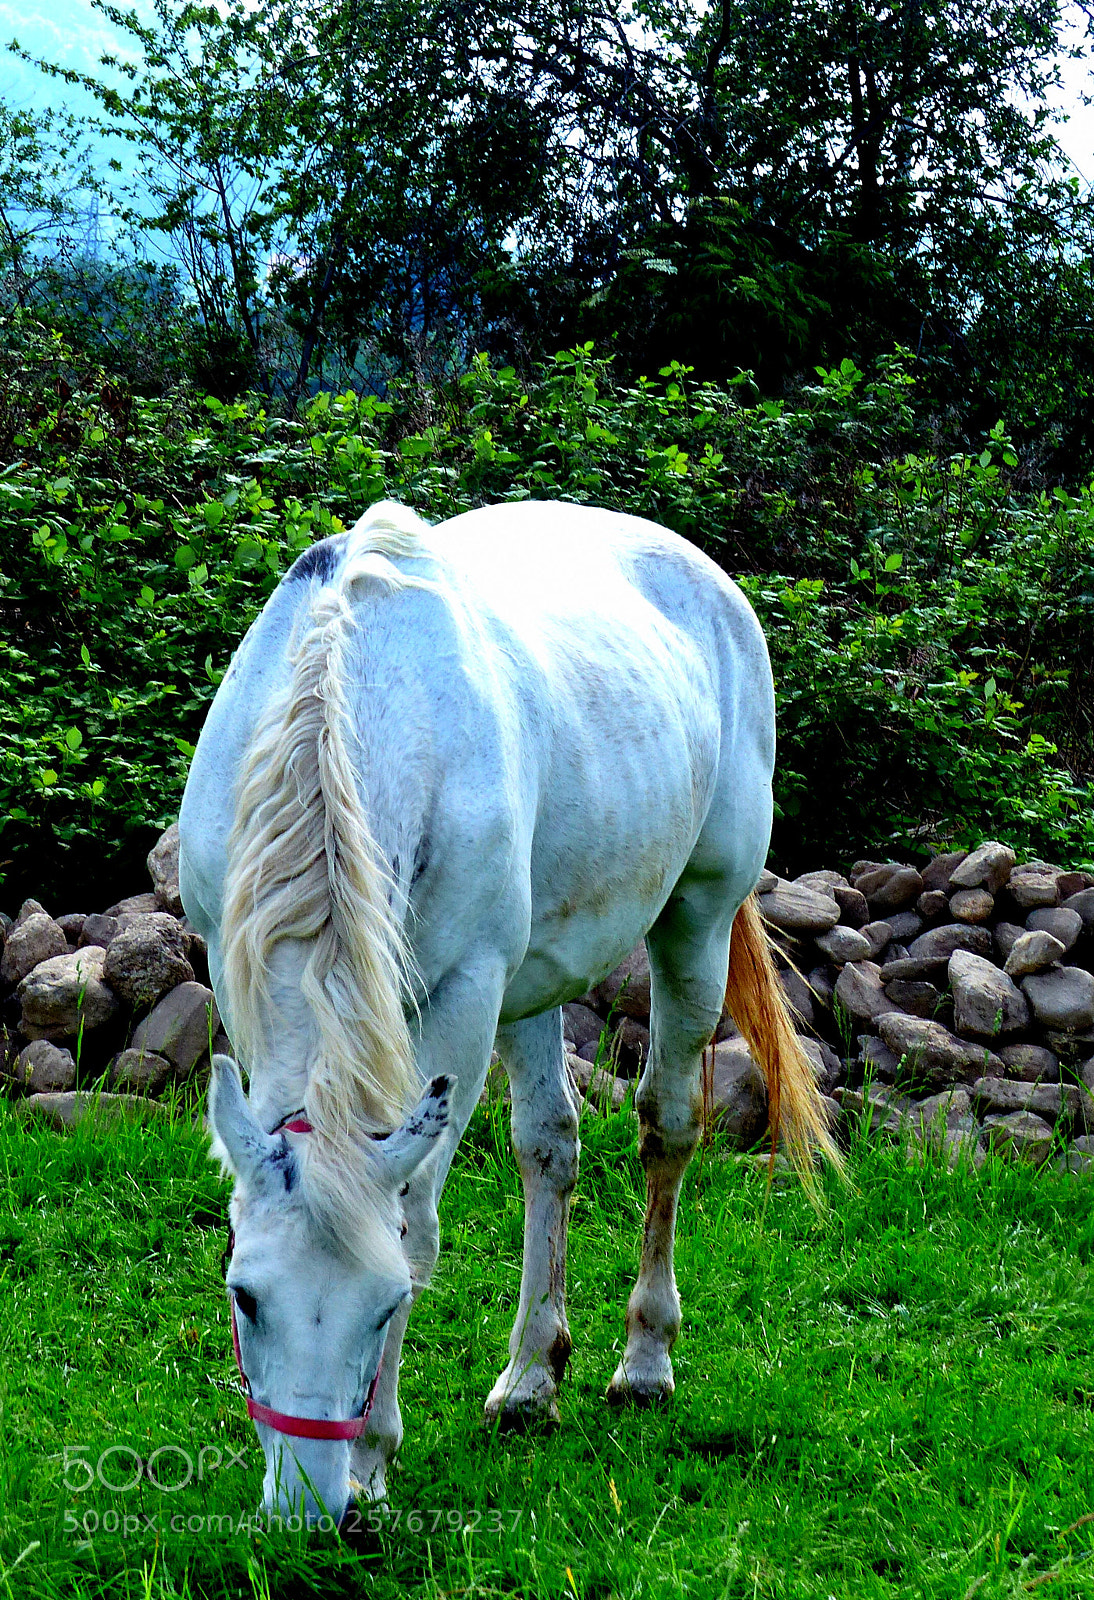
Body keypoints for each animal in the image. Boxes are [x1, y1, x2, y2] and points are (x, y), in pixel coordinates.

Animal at [179, 498, 839, 1525]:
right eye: (245, 1296)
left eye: (384, 1307)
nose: (309, 1513)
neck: (353, 704)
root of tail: (710, 580)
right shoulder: (232, 962)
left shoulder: (461, 996)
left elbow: (415, 1225)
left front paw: (375, 1455)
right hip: (531, 982)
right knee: (550, 1148)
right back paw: (531, 1379)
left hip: (693, 919)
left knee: (668, 1125)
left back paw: (644, 1361)